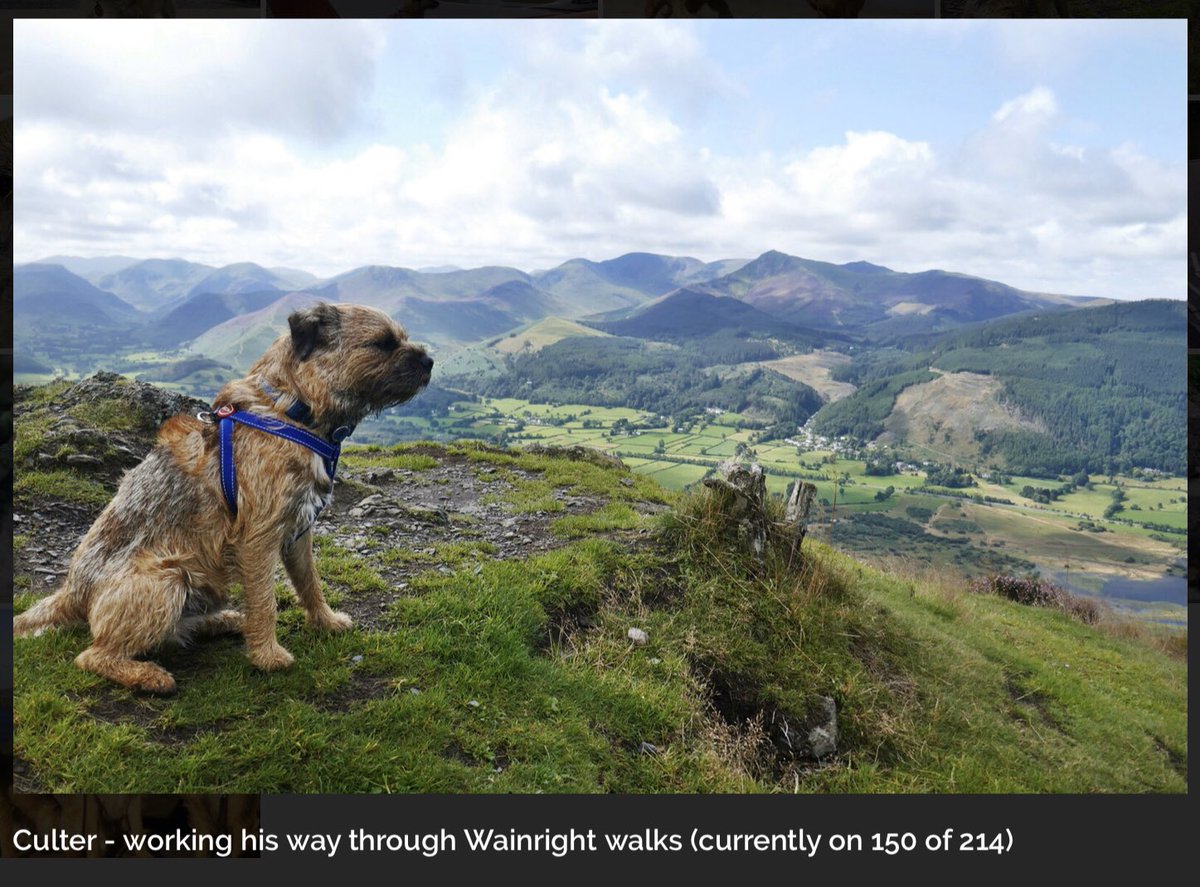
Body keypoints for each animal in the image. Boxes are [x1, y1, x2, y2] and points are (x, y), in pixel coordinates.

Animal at [14, 304, 436, 696]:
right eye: (383, 343)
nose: (430, 361)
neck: (292, 409)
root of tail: (72, 592)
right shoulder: (258, 539)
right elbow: (265, 601)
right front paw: (267, 656)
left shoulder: (298, 534)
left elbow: (309, 583)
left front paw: (326, 621)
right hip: (166, 579)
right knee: (93, 654)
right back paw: (147, 675)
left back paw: (224, 621)